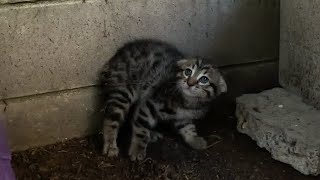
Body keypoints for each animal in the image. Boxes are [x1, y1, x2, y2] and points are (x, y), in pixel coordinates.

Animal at [100, 39, 228, 160]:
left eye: (204, 79)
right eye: (187, 72)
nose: (189, 83)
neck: (187, 102)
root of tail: (116, 56)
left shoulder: (183, 115)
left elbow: (187, 127)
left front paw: (194, 139)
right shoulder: (151, 103)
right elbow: (142, 126)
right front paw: (137, 149)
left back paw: (151, 133)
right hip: (123, 89)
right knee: (111, 117)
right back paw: (111, 145)